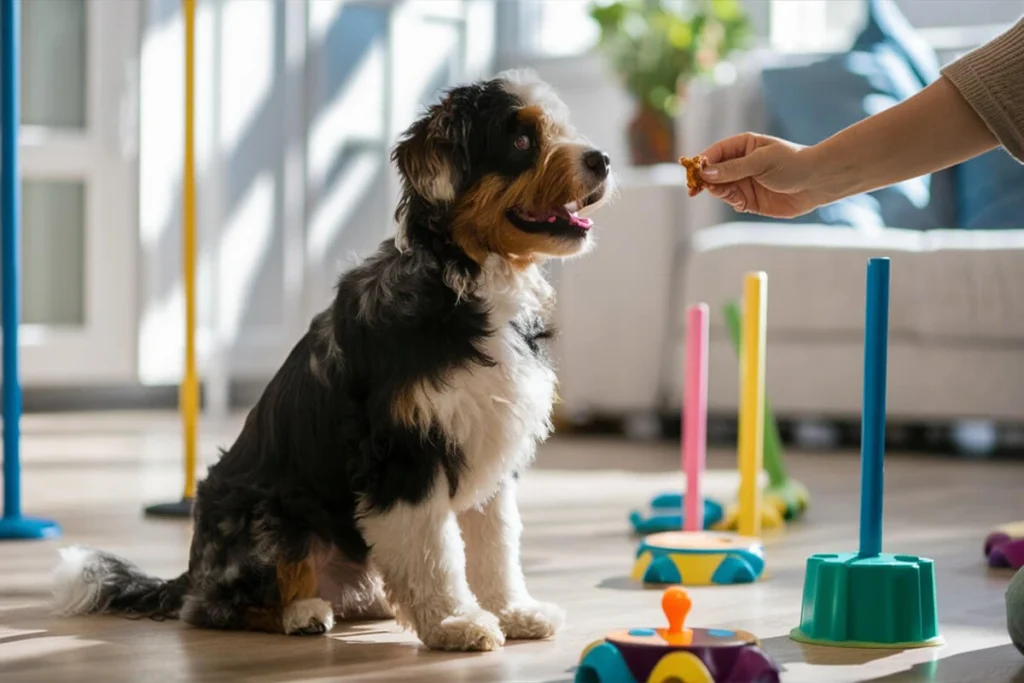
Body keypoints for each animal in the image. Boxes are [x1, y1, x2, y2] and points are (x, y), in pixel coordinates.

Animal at [51, 72, 610, 655]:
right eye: (521, 141)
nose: (603, 159)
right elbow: (434, 550)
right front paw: (454, 622)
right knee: (219, 606)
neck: (466, 282)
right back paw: (301, 613)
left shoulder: (490, 441)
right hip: (269, 522)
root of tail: (192, 571)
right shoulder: (401, 454)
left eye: (562, 129)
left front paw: (513, 611)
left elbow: (496, 546)